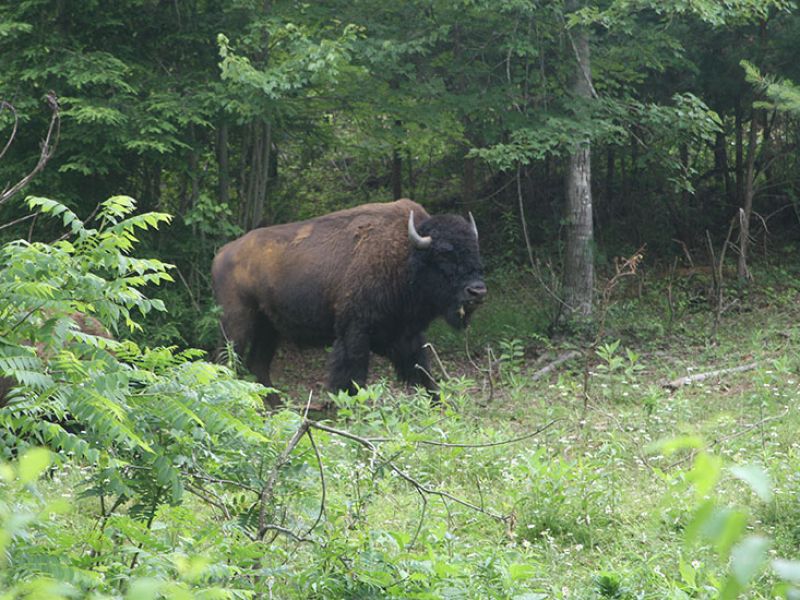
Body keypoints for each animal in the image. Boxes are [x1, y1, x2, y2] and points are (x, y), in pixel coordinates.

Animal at [211, 199, 487, 404]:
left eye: (475, 250)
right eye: (443, 254)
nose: (477, 291)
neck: (405, 256)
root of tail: (222, 253)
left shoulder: (408, 334)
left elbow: (422, 372)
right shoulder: (354, 331)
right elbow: (351, 376)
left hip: (268, 327)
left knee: (257, 364)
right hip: (237, 322)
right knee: (226, 361)